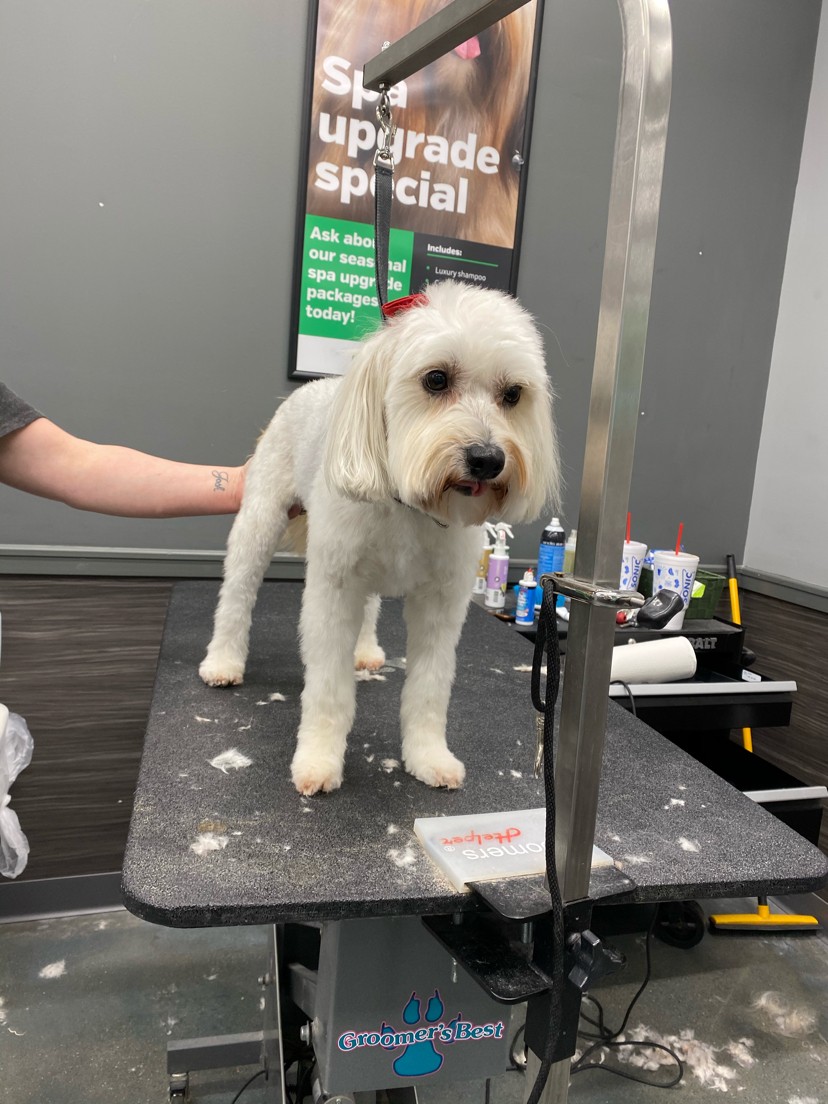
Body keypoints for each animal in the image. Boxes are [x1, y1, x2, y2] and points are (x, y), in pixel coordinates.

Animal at [200, 281, 559, 796]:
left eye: (512, 394)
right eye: (436, 379)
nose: (487, 458)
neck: (410, 505)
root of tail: (313, 387)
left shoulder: (442, 603)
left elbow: (429, 689)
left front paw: (429, 757)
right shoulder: (333, 591)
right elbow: (327, 690)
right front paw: (318, 761)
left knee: (369, 607)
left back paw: (365, 652)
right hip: (260, 520)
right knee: (238, 594)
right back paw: (224, 661)